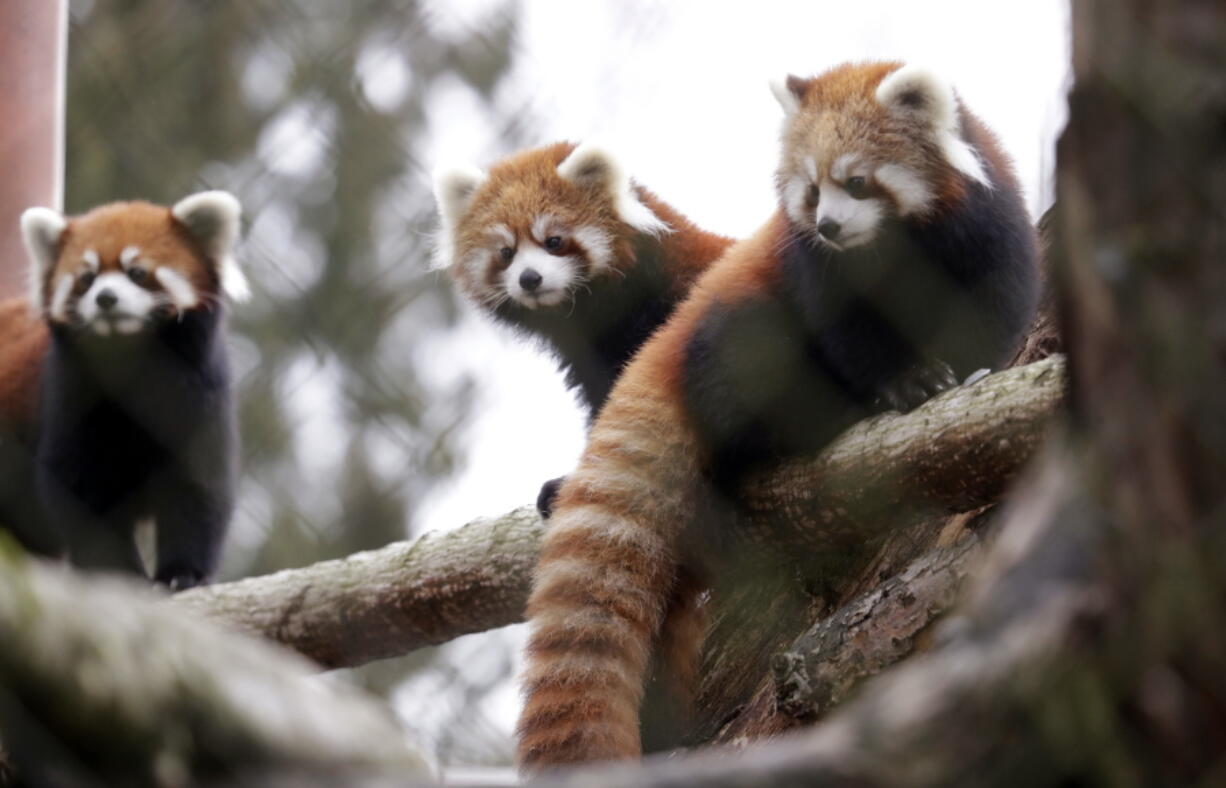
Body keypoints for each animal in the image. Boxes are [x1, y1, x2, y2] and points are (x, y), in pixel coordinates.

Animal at [512, 61, 1039, 769]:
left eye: (855, 181)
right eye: (810, 192)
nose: (830, 227)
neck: (894, 245)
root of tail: (666, 344)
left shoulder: (988, 234)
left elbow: (991, 312)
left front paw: (977, 372)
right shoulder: (815, 271)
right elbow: (853, 339)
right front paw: (908, 385)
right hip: (735, 333)